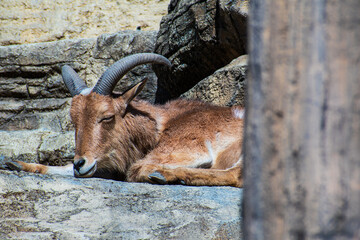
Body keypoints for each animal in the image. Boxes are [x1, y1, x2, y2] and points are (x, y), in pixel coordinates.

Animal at [5, 53, 243, 188]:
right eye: (74, 121)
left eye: (107, 116)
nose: (80, 163)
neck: (161, 126)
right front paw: (16, 163)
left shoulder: (187, 148)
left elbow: (134, 169)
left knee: (235, 175)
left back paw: (164, 175)